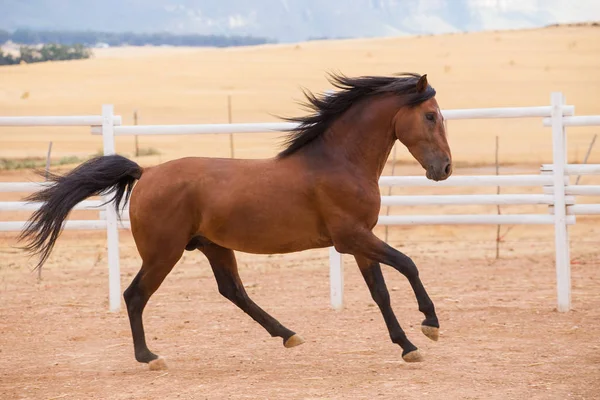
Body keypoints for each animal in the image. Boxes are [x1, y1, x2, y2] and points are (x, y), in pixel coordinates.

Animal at [18, 72, 452, 368]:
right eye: (431, 116)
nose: (444, 168)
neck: (339, 162)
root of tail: (146, 173)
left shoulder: (361, 241)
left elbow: (381, 292)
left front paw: (408, 346)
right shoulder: (352, 237)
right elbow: (408, 265)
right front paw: (430, 325)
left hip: (213, 247)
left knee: (233, 291)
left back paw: (288, 335)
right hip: (163, 253)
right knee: (135, 295)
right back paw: (149, 357)